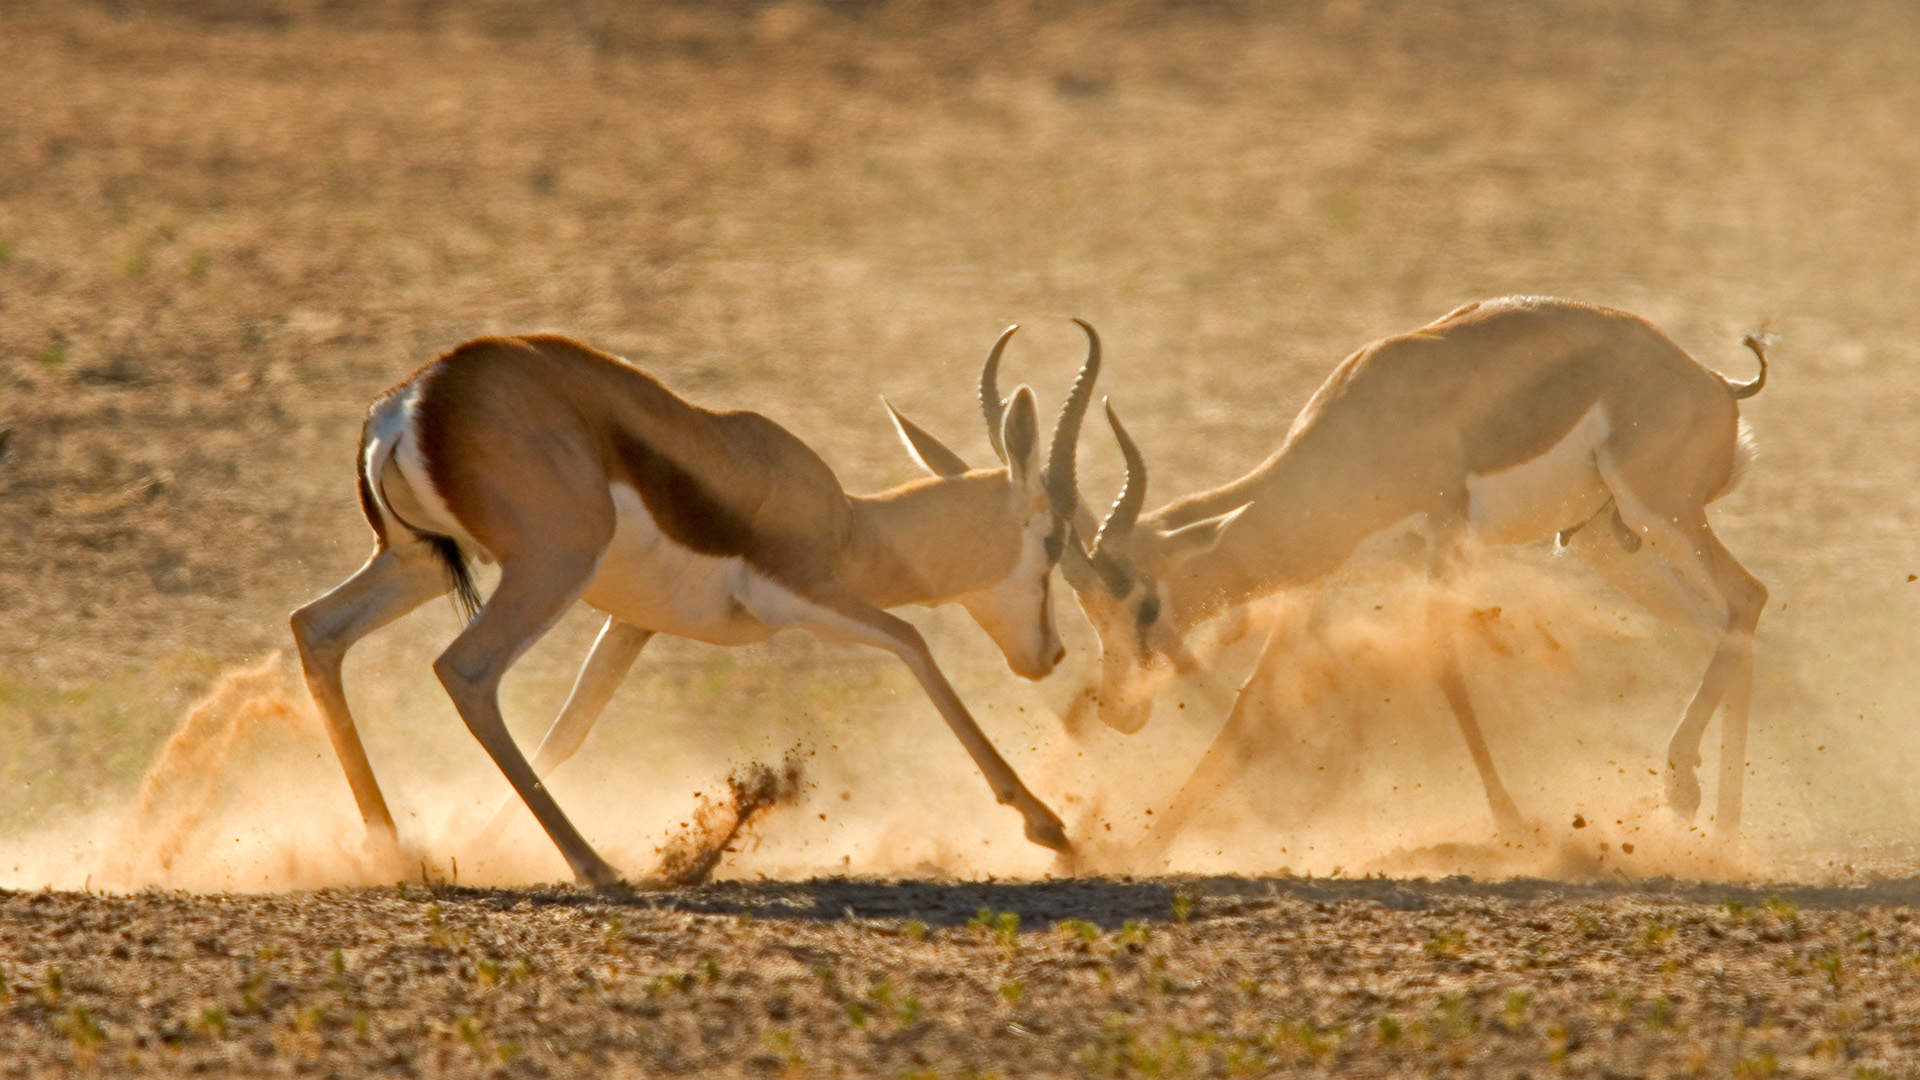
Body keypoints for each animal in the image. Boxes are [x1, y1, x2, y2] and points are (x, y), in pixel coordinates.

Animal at [290, 322, 1101, 890]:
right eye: (1055, 539)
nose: (1050, 654)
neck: (848, 525)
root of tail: (412, 401)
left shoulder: (633, 623)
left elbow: (569, 730)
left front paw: (482, 844)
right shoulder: (804, 594)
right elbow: (913, 642)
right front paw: (1049, 828)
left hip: (417, 564)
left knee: (317, 629)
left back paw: (392, 850)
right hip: (548, 568)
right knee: (465, 671)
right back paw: (596, 867)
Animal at [1057, 296, 1769, 854]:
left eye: (1145, 606)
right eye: (1090, 611)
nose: (1118, 709)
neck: (1361, 424)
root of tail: (1714, 381)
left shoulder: (1443, 538)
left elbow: (1445, 665)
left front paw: (1516, 829)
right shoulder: (1321, 580)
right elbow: (1251, 699)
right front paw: (1147, 845)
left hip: (1661, 512)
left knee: (1747, 596)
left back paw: (1689, 799)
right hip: (1607, 542)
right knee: (1723, 624)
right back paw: (1724, 835)